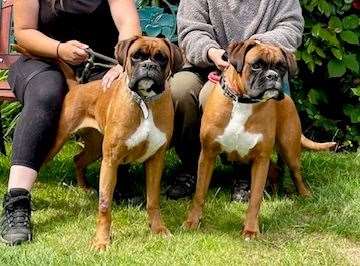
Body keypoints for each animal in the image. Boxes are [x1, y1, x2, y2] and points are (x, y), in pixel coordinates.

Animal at [39, 36, 184, 250]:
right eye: (136, 56)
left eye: (162, 58)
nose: (149, 65)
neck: (145, 102)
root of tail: (77, 86)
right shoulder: (111, 161)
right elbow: (105, 204)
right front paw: (101, 240)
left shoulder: (156, 160)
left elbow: (153, 200)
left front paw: (158, 229)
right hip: (58, 142)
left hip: (94, 147)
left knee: (78, 159)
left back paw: (84, 188)